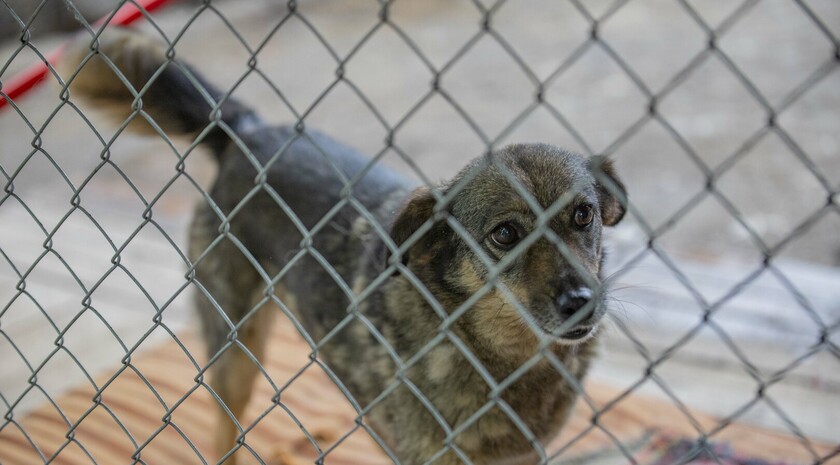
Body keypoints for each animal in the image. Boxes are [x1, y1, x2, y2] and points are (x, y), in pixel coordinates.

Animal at [64, 29, 624, 464]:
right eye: (505, 234)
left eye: (583, 214)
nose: (582, 301)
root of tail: (248, 133)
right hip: (236, 353)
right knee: (225, 431)